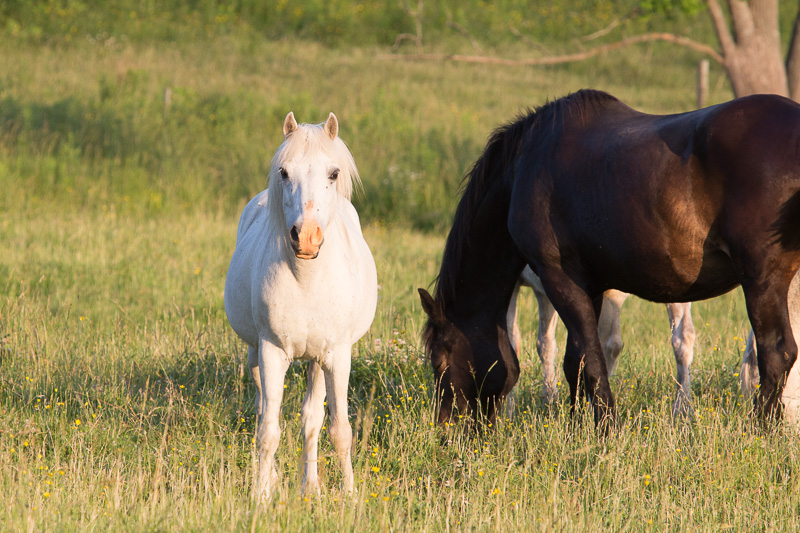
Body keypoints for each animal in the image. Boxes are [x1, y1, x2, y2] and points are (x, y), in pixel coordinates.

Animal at [223, 112, 376, 498]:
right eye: (284, 172)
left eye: (333, 174)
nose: (306, 238)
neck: (307, 279)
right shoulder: (272, 352)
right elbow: (268, 431)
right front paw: (261, 495)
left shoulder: (336, 356)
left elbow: (338, 431)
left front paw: (349, 495)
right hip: (257, 354)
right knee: (263, 408)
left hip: (317, 361)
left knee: (311, 419)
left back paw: (311, 486)